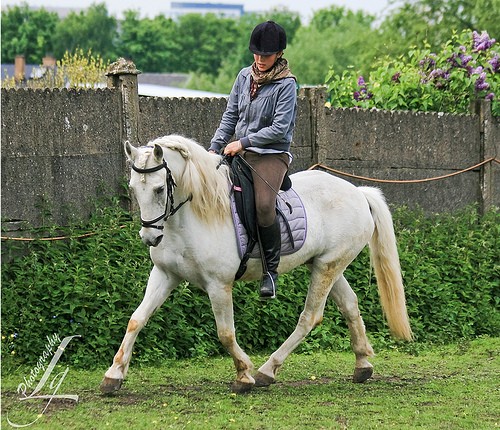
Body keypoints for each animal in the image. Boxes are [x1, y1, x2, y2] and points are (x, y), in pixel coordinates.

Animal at [100, 134, 412, 394]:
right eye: (133, 188)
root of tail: (358, 192)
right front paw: (113, 375)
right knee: (349, 305)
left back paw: (267, 371)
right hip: (325, 265)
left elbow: (225, 334)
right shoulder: (165, 275)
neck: (193, 215)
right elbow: (136, 319)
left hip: (328, 267)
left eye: (159, 189)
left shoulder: (218, 285)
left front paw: (244, 375)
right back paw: (362, 365)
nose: (150, 237)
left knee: (310, 317)